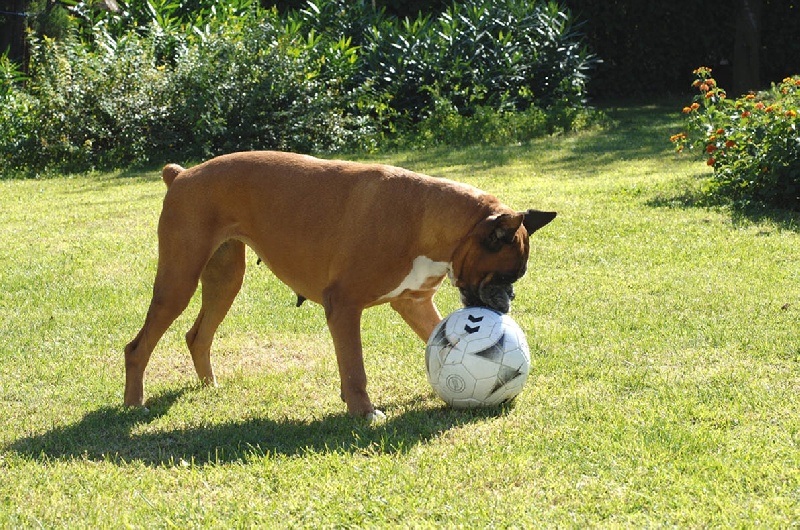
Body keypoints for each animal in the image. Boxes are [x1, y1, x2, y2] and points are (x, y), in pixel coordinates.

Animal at [125, 151, 556, 418]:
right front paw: (363, 412)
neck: (427, 218)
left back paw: (209, 387)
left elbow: (433, 337)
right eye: (504, 276)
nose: (506, 302)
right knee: (137, 347)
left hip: (225, 279)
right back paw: (134, 404)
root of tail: (182, 174)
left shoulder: (414, 302)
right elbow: (354, 368)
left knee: (197, 335)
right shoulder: (344, 306)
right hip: (178, 282)